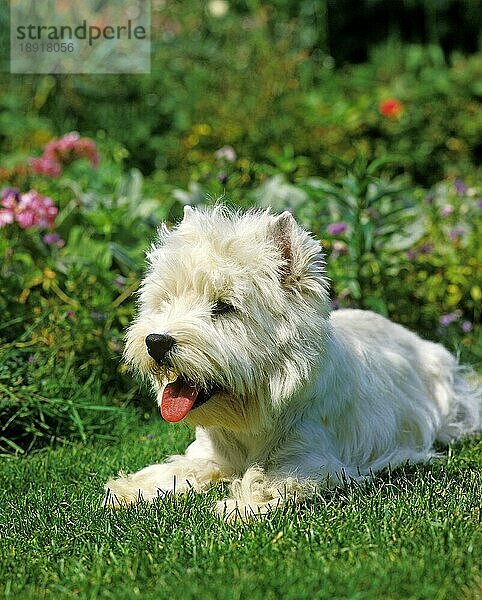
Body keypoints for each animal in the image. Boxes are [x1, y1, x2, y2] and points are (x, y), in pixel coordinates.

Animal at [106, 205, 482, 516]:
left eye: (224, 306)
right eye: (165, 300)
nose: (155, 342)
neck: (254, 416)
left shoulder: (310, 458)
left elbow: (272, 479)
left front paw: (240, 504)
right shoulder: (211, 455)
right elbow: (181, 468)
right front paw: (129, 489)